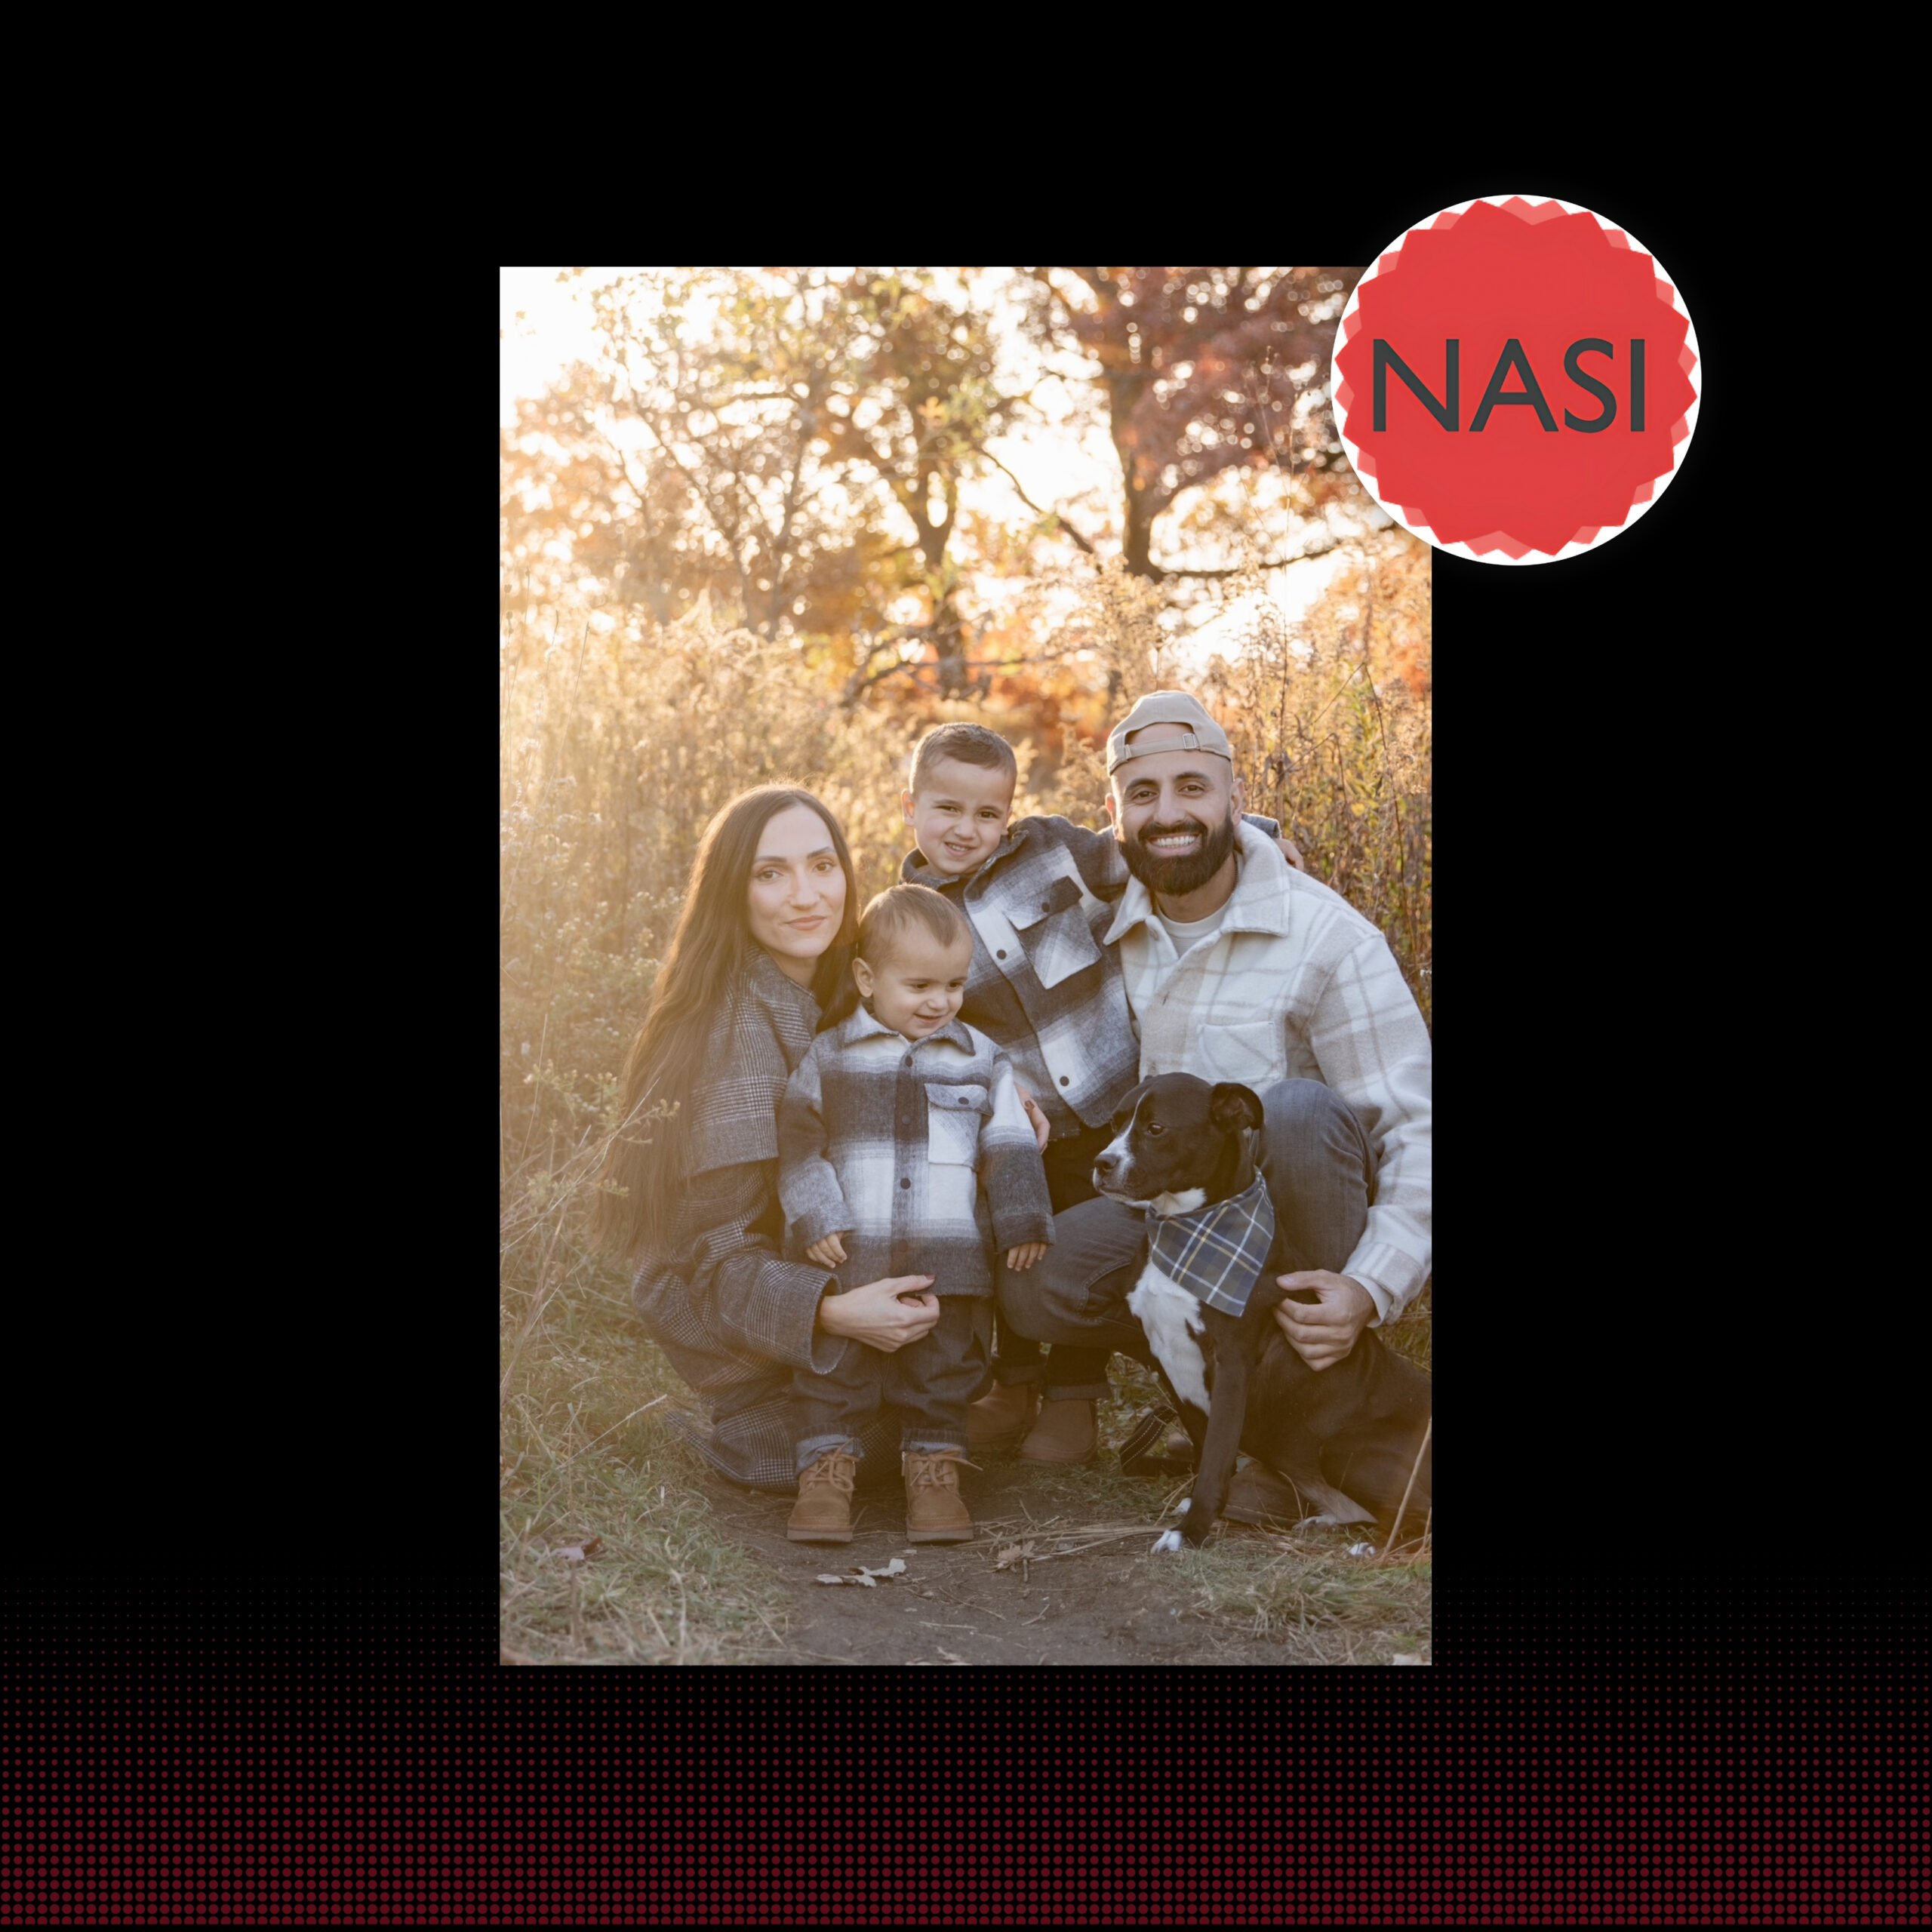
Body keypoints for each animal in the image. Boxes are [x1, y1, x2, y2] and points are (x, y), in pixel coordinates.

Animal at [1092, 1073, 1433, 1550]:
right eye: (1114, 1123)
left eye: (1156, 1129)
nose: (1101, 1163)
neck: (1191, 1225)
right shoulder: (1167, 1360)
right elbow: (1207, 1448)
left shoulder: (1231, 1365)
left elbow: (1217, 1456)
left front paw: (1192, 1530)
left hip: (1344, 1451)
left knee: (1421, 1514)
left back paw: (1373, 1546)